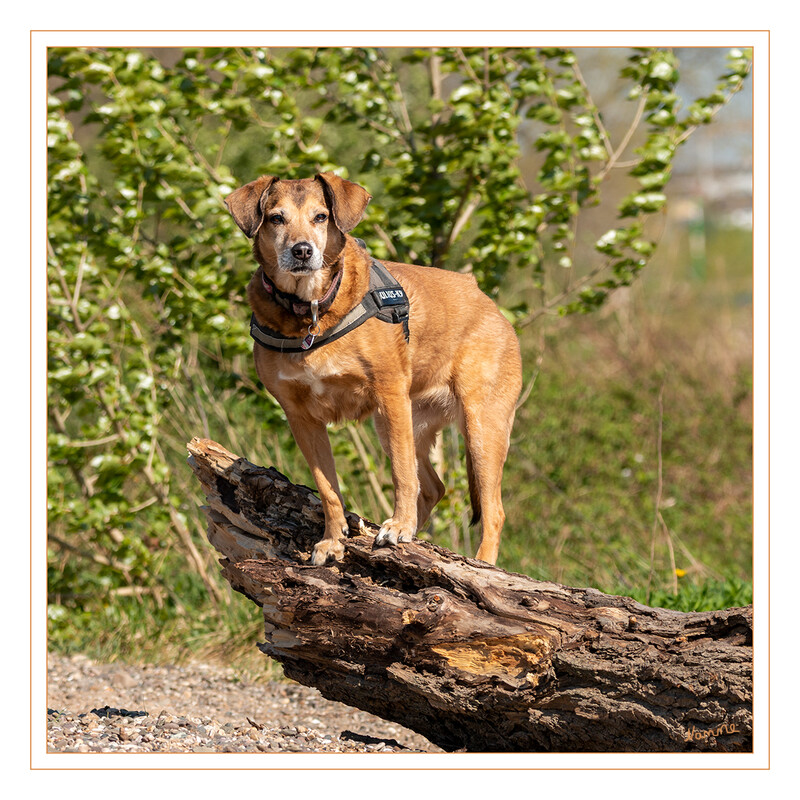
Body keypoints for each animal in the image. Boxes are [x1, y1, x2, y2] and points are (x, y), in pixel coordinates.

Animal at [225, 172, 524, 564]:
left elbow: (401, 473)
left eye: (321, 217)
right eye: (276, 218)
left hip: (479, 428)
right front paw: (333, 540)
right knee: (434, 487)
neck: (311, 312)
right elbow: (328, 488)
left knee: (492, 510)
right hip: (408, 423)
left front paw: (399, 526)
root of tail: (487, 301)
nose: (302, 251)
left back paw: (475, 560)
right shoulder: (301, 417)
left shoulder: (389, 394)